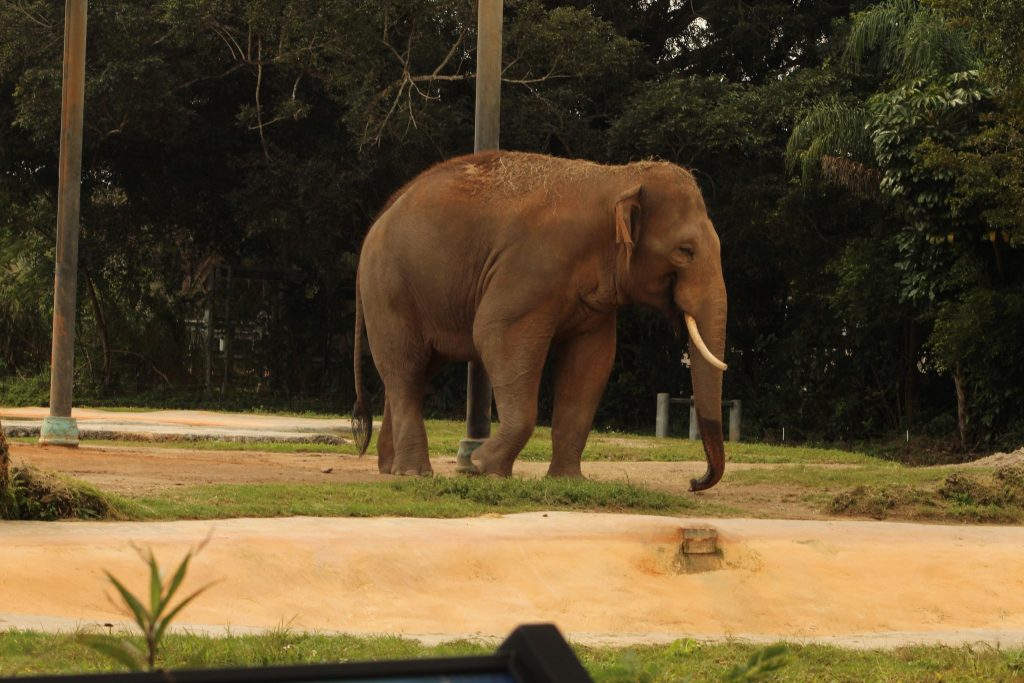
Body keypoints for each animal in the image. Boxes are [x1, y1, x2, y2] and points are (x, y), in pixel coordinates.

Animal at [352, 151, 728, 491]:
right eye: (684, 252)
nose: (694, 481)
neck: (616, 178)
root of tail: (382, 214)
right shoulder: (529, 268)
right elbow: (495, 334)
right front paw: (482, 467)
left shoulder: (594, 303)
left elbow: (591, 362)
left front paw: (569, 481)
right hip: (388, 288)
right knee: (405, 367)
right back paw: (414, 473)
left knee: (414, 373)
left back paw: (392, 468)